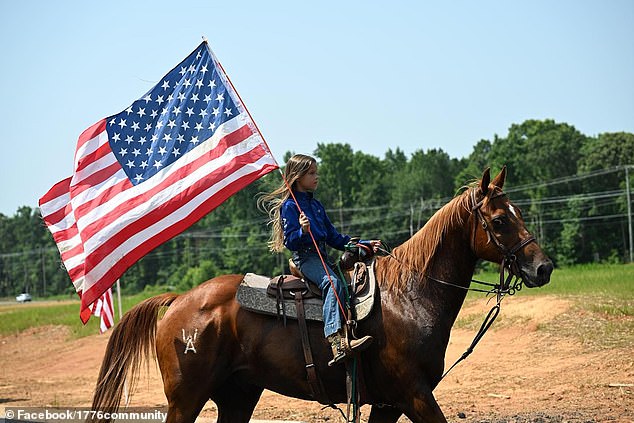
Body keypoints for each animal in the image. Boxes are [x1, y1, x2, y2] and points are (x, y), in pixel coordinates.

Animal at [91, 169, 552, 423]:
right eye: (499, 220)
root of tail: (179, 302)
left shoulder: (388, 404)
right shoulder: (415, 394)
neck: (410, 298)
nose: (543, 267)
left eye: (519, 214)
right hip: (185, 400)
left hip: (238, 396)